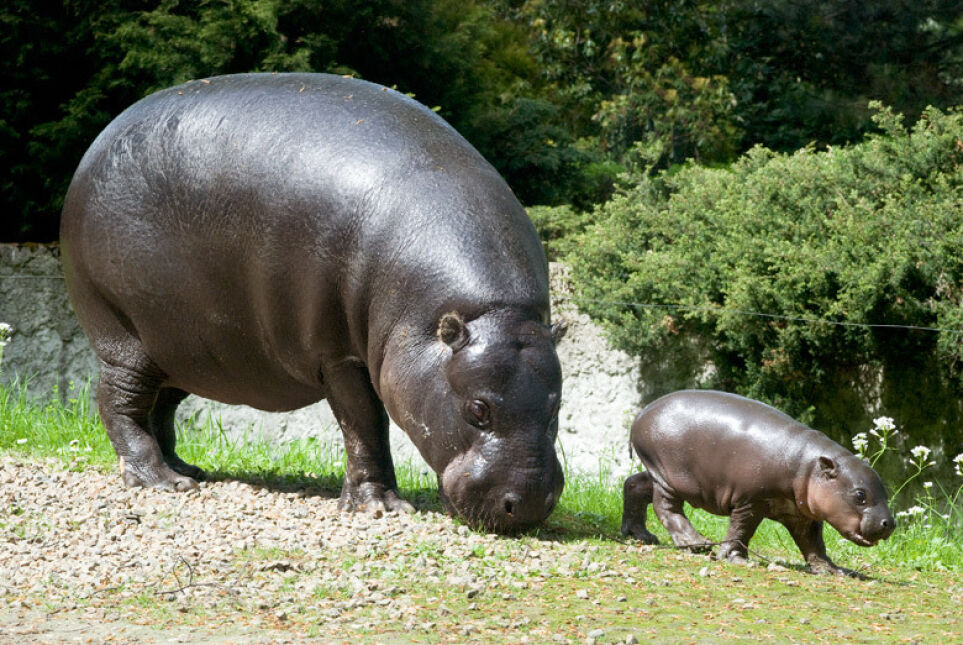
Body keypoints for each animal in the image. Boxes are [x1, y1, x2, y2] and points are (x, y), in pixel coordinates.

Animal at [58, 71, 564, 532]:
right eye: (478, 410)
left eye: (556, 407)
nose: (528, 504)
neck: (487, 311)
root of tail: (94, 147)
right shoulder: (339, 355)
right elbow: (365, 425)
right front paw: (379, 507)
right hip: (125, 336)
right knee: (119, 404)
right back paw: (161, 481)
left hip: (185, 348)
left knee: (161, 406)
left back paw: (186, 469)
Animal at [620, 388, 900, 572]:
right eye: (860, 495)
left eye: (885, 492)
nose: (890, 523)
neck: (809, 466)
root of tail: (642, 412)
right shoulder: (750, 501)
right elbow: (741, 530)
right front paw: (735, 558)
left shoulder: (803, 515)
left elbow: (813, 543)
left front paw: (832, 570)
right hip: (668, 476)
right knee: (666, 508)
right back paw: (696, 542)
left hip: (661, 475)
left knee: (633, 486)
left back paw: (641, 535)